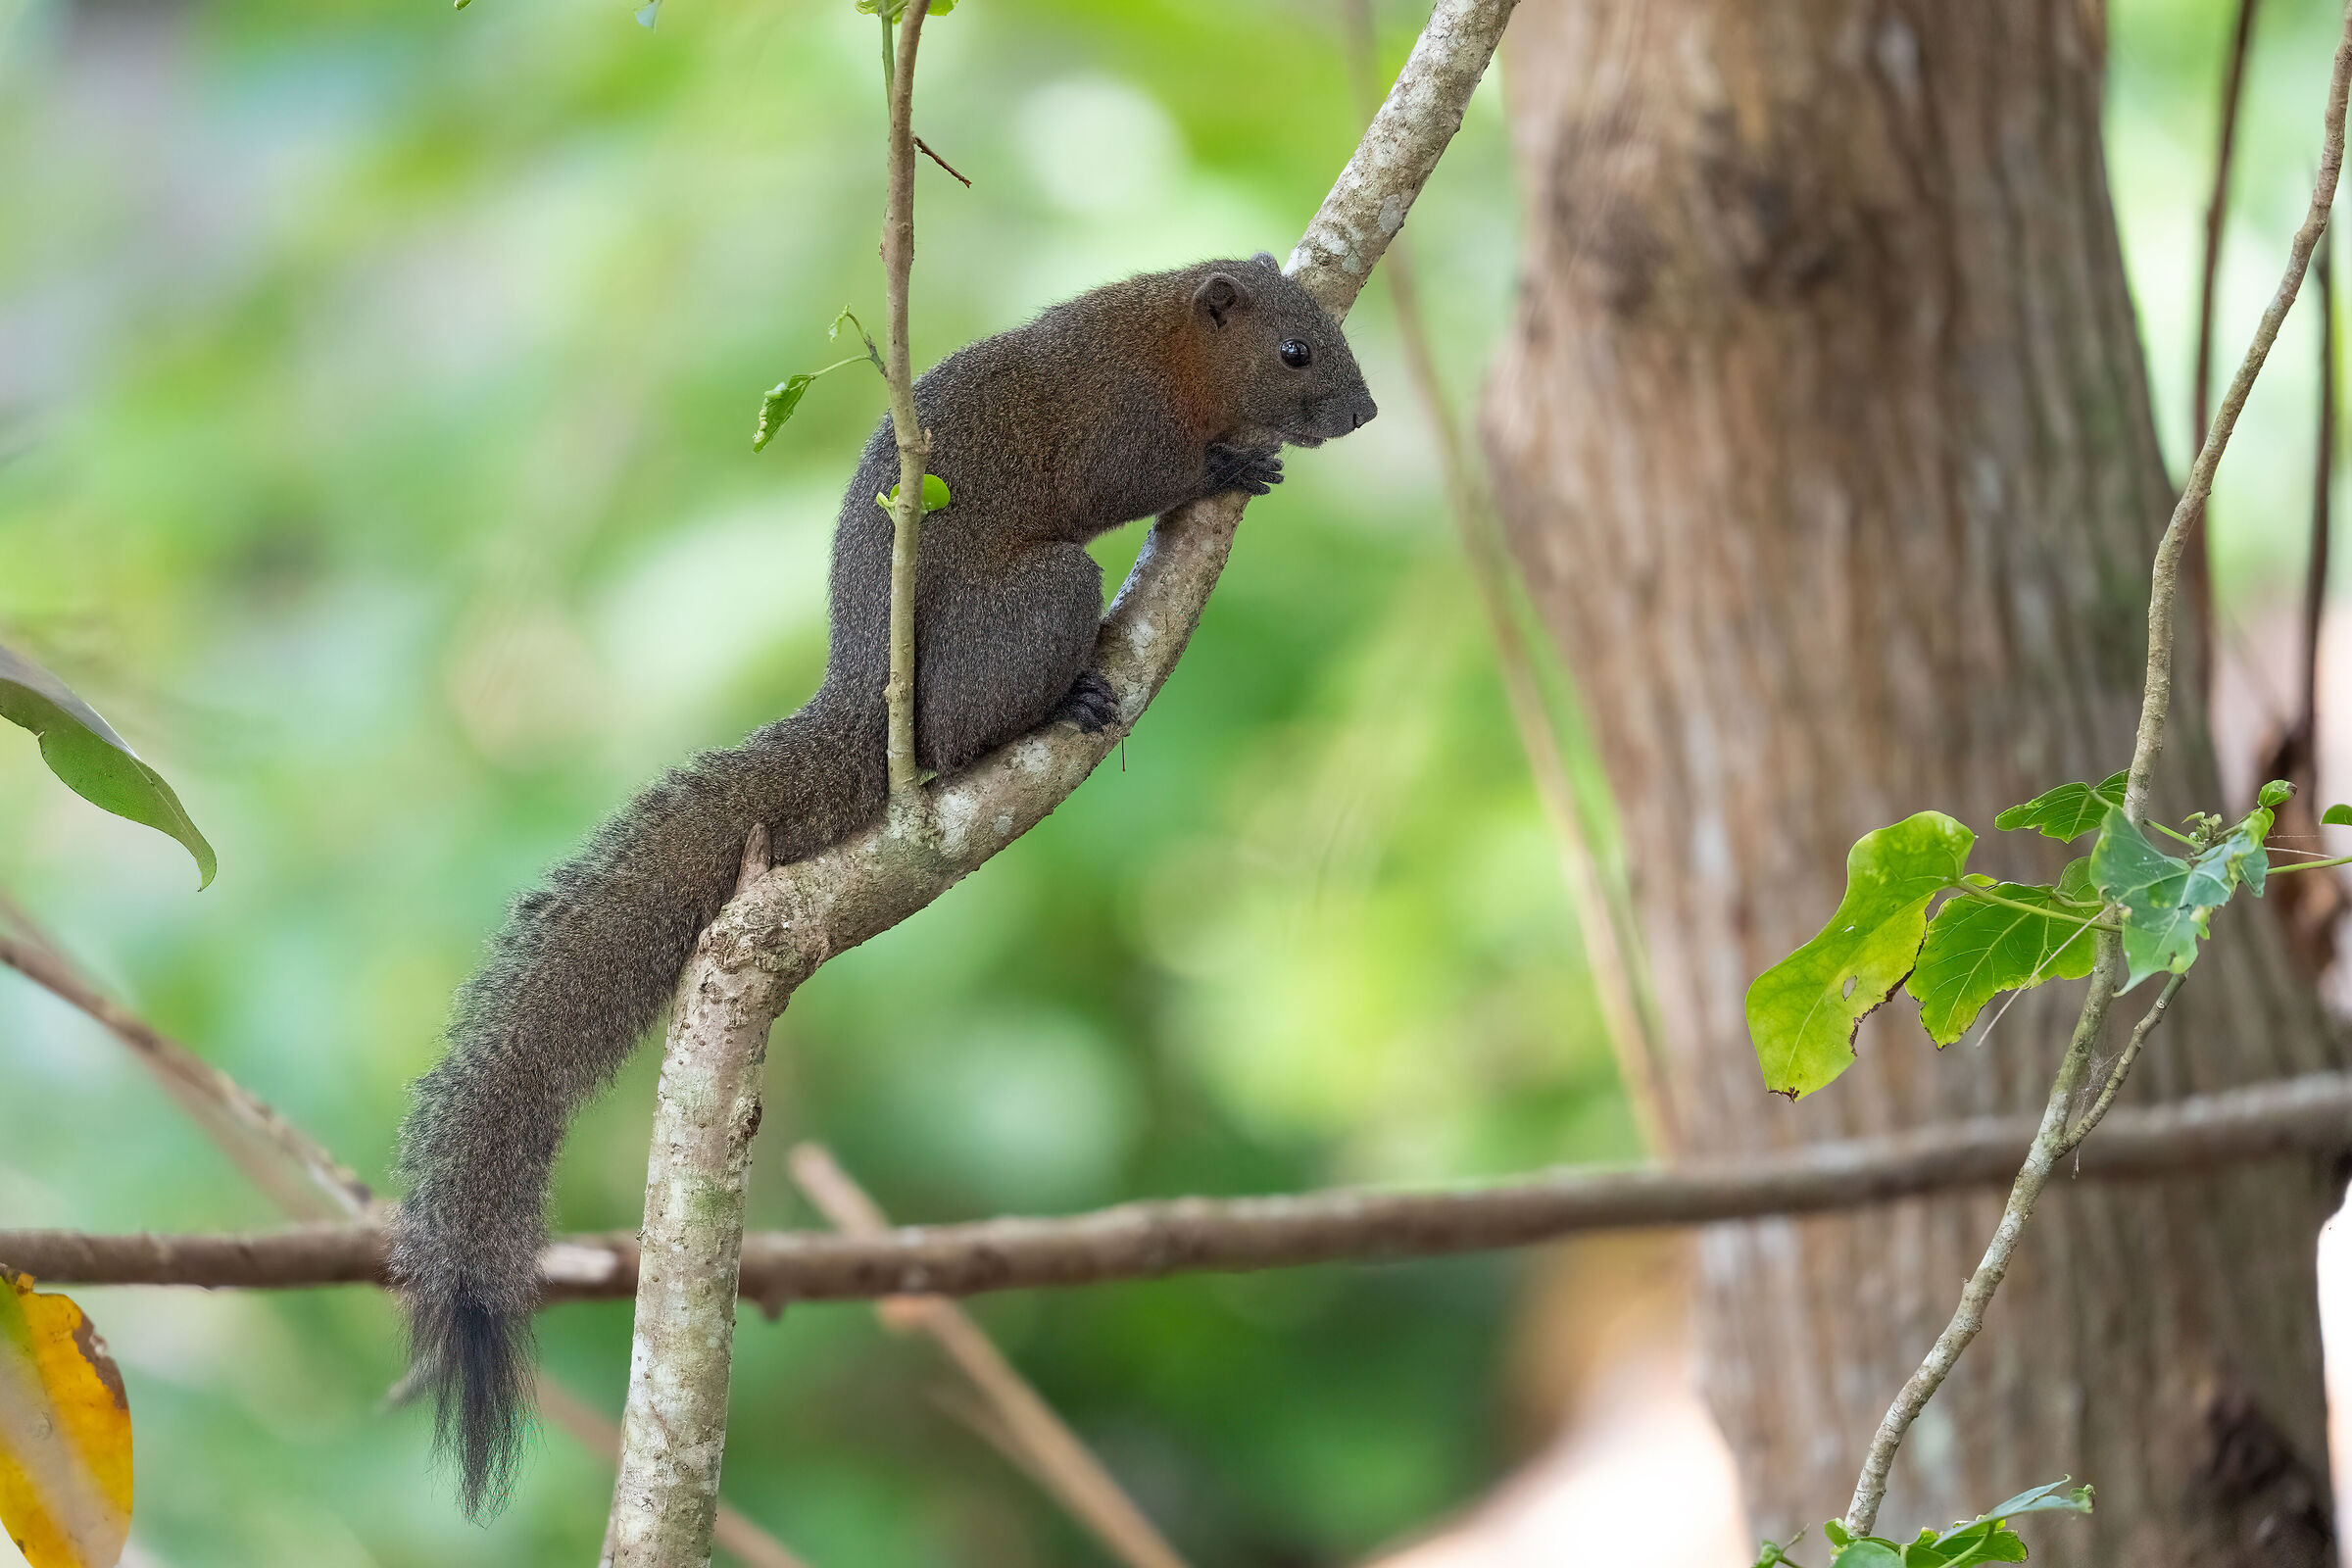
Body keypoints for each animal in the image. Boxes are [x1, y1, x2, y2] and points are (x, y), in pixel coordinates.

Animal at [391, 253, 1377, 1515]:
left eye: (1329, 336)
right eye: (1294, 353)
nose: (1366, 414)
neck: (1164, 344)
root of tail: (867, 702)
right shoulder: (1122, 430)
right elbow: (1151, 478)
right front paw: (1232, 465)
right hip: (1046, 595)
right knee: (970, 720)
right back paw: (1063, 702)